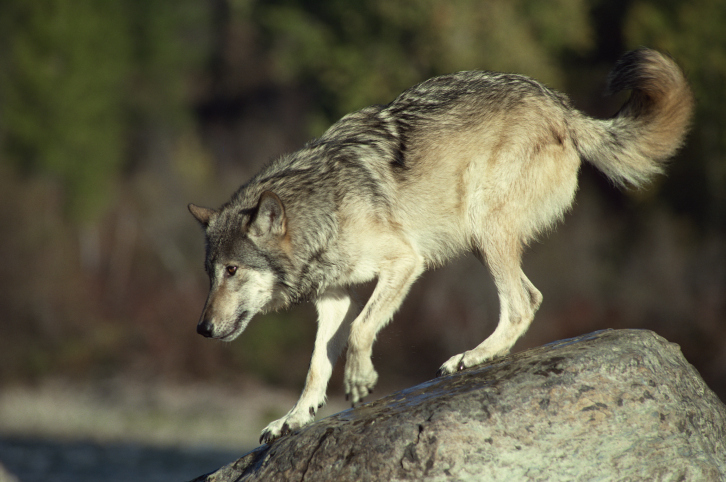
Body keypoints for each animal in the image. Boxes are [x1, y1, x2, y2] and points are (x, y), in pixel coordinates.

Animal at [188, 49, 692, 444]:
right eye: (211, 273)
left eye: (232, 271)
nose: (202, 330)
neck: (324, 206)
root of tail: (562, 105)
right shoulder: (333, 297)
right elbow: (316, 364)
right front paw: (294, 418)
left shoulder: (404, 263)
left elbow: (361, 331)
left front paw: (360, 379)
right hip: (482, 239)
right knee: (530, 298)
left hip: (483, 229)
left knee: (521, 303)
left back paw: (472, 356)